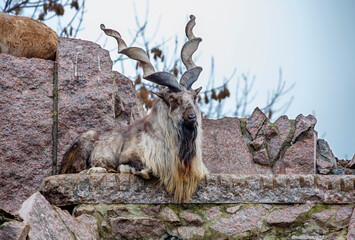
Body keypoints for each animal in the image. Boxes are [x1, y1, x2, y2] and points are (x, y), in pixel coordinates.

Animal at [59, 15, 209, 202]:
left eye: (193, 97)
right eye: (173, 99)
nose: (192, 117)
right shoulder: (132, 157)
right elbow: (144, 170)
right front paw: (120, 169)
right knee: (77, 171)